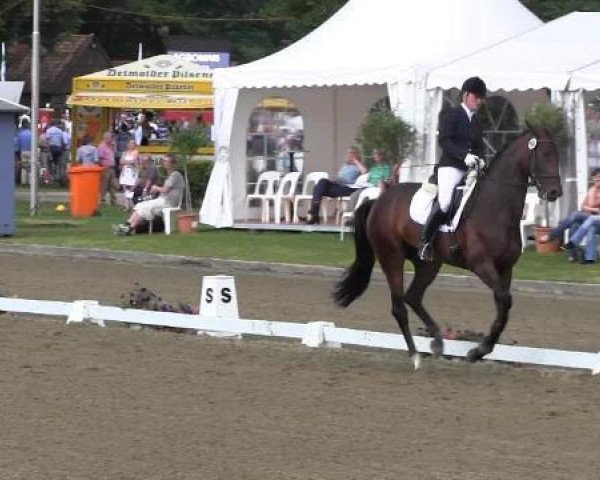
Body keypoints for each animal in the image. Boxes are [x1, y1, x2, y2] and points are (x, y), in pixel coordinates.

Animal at [332, 127, 564, 368]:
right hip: (391, 257)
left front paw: (478, 351)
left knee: (413, 296)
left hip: (429, 263)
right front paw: (479, 350)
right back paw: (416, 356)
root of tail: (379, 201)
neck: (496, 207)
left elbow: (503, 306)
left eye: (556, 155)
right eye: (545, 154)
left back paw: (436, 341)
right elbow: (504, 300)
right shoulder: (482, 264)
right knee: (399, 306)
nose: (555, 192)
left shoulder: (505, 268)